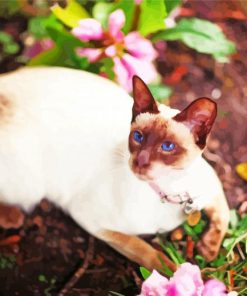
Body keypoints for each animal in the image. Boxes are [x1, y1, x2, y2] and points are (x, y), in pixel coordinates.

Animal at [0, 66, 229, 270]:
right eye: (138, 137)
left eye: (167, 146)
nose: (139, 162)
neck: (171, 192)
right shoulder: (91, 220)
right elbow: (147, 252)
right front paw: (183, 275)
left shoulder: (212, 187)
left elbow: (223, 214)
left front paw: (207, 252)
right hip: (31, 187)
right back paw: (11, 217)